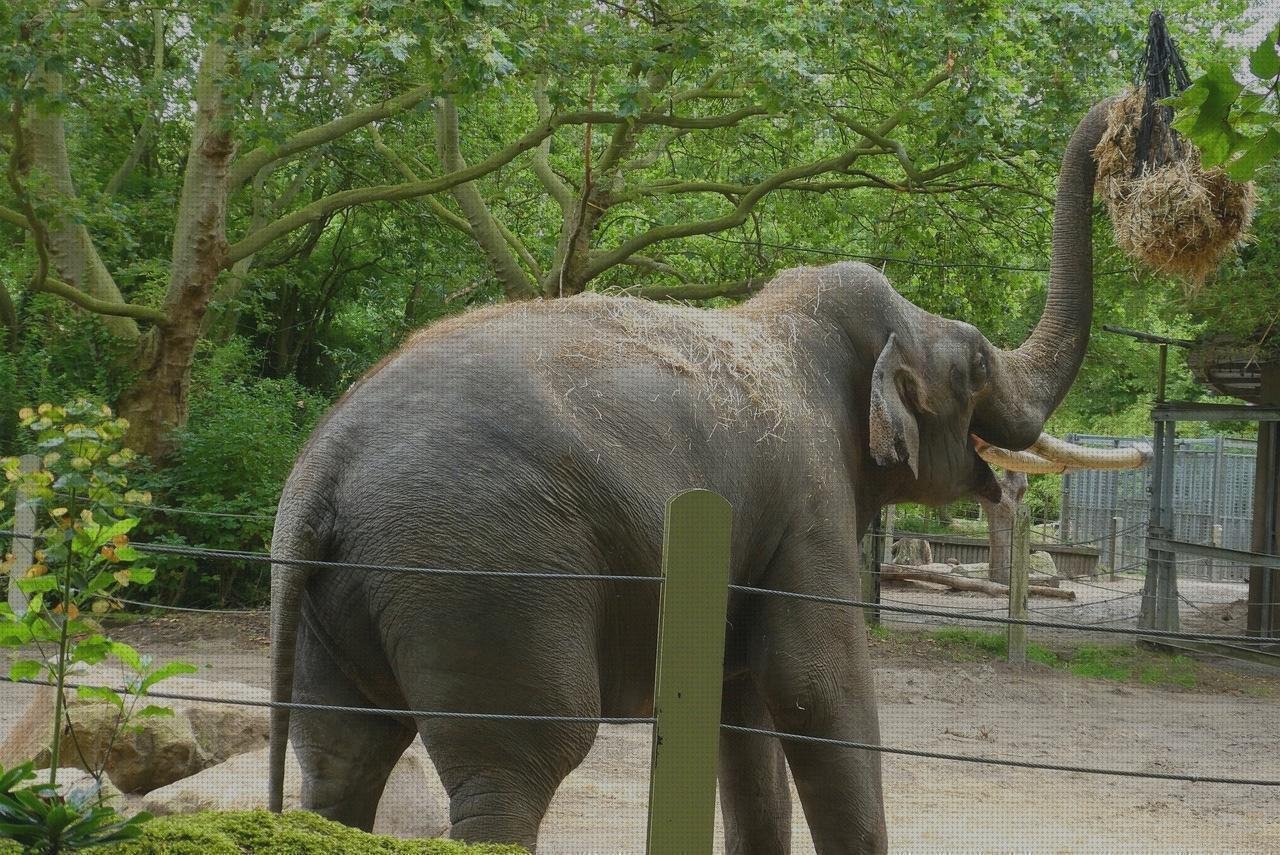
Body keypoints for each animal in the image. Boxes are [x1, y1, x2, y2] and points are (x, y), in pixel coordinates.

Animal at [272, 96, 1121, 849]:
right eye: (976, 366)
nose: (1124, 112)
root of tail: (320, 472)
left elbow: (742, 708)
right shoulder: (809, 502)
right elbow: (818, 692)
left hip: (338, 603)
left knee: (341, 756)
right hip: (480, 575)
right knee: (516, 766)